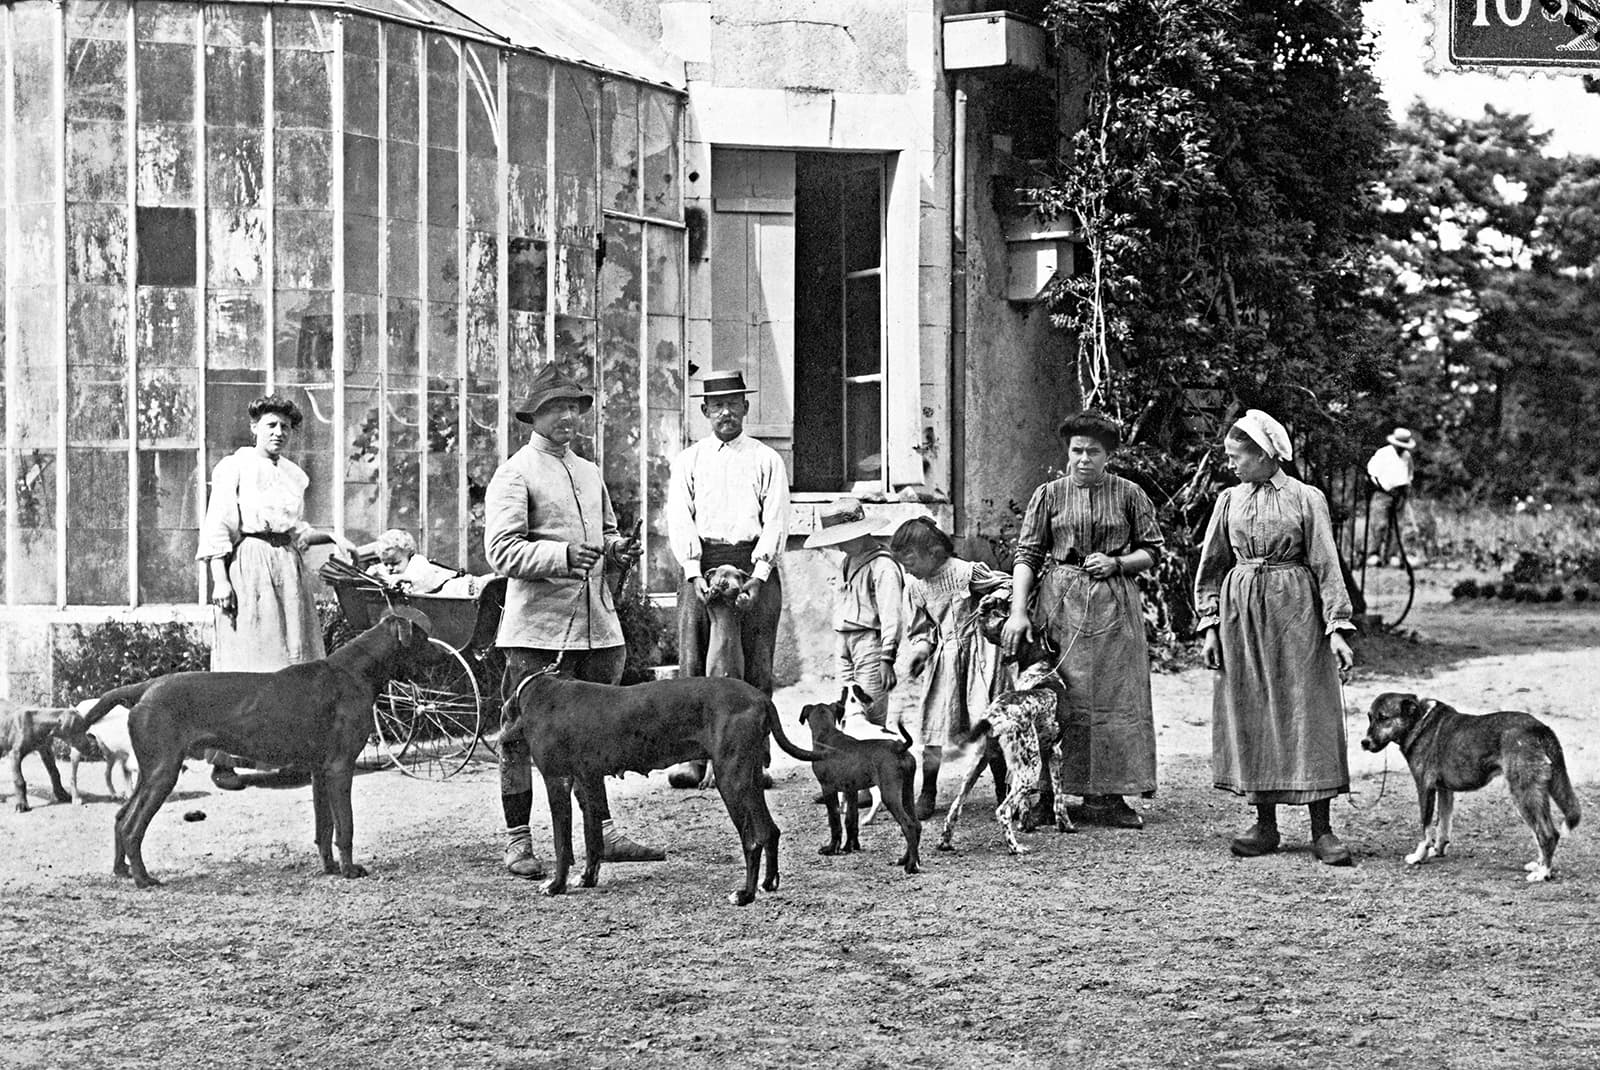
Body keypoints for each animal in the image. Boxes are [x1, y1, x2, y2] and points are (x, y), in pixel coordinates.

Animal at [78, 607, 435, 882]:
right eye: (423, 638)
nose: (443, 656)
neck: (355, 671)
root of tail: (147, 687)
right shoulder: (339, 768)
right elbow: (345, 826)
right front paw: (349, 870)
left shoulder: (320, 772)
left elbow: (324, 827)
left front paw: (331, 868)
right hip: (163, 772)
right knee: (131, 827)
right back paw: (143, 879)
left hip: (151, 770)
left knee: (120, 817)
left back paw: (121, 871)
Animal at [496, 671, 825, 908]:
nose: (499, 742)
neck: (540, 694)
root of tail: (759, 697)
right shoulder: (586, 780)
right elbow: (592, 838)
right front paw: (587, 878)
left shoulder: (558, 780)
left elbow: (562, 843)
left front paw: (556, 886)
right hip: (749, 778)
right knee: (770, 830)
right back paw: (767, 884)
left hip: (731, 779)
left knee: (752, 839)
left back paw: (744, 894)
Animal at [800, 687, 928, 870]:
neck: (827, 734)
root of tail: (899, 747)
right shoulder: (851, 791)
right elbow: (850, 820)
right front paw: (849, 847)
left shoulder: (829, 789)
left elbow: (835, 821)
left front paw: (831, 849)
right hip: (906, 793)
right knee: (915, 824)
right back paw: (905, 859)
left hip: (889, 795)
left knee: (908, 825)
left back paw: (911, 866)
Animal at [1356, 687, 1580, 882]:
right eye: (1369, 717)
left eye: (1383, 718)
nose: (1364, 743)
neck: (1419, 721)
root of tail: (1541, 729)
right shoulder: (1444, 791)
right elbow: (1443, 826)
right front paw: (1438, 850)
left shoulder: (1425, 788)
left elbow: (1426, 829)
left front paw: (1419, 856)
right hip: (1537, 793)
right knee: (1542, 833)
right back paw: (1539, 865)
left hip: (1523, 794)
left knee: (1548, 834)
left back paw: (1543, 874)